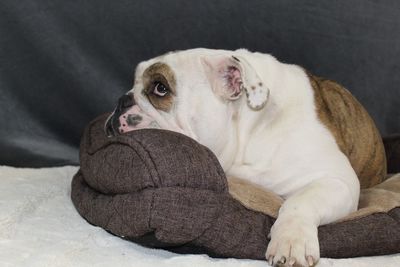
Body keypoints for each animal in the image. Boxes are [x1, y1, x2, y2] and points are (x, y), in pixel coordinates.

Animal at [104, 49, 386, 266]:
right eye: (133, 83)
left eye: (160, 88)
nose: (121, 99)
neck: (249, 129)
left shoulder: (338, 180)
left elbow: (301, 201)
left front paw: (290, 240)